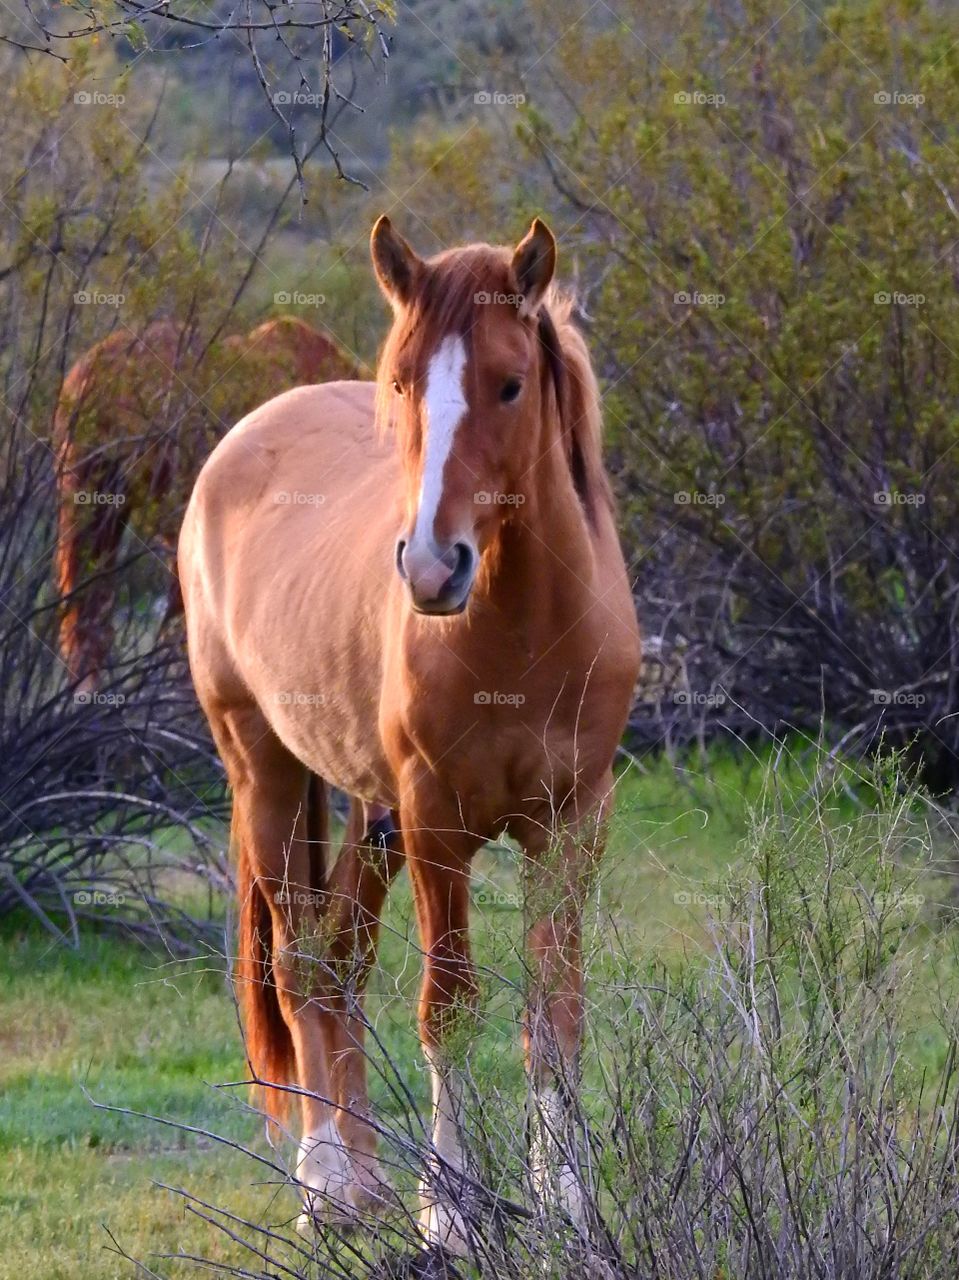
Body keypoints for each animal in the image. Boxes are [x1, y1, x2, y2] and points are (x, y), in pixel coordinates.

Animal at [180, 217, 642, 1249]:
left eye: (509, 383)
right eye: (399, 381)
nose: (432, 569)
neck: (523, 631)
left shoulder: (573, 824)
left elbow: (555, 1014)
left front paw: (568, 1207)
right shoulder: (439, 827)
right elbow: (451, 1011)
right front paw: (457, 1215)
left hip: (368, 809)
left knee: (343, 956)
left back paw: (369, 1183)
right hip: (266, 772)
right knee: (302, 961)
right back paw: (327, 1186)